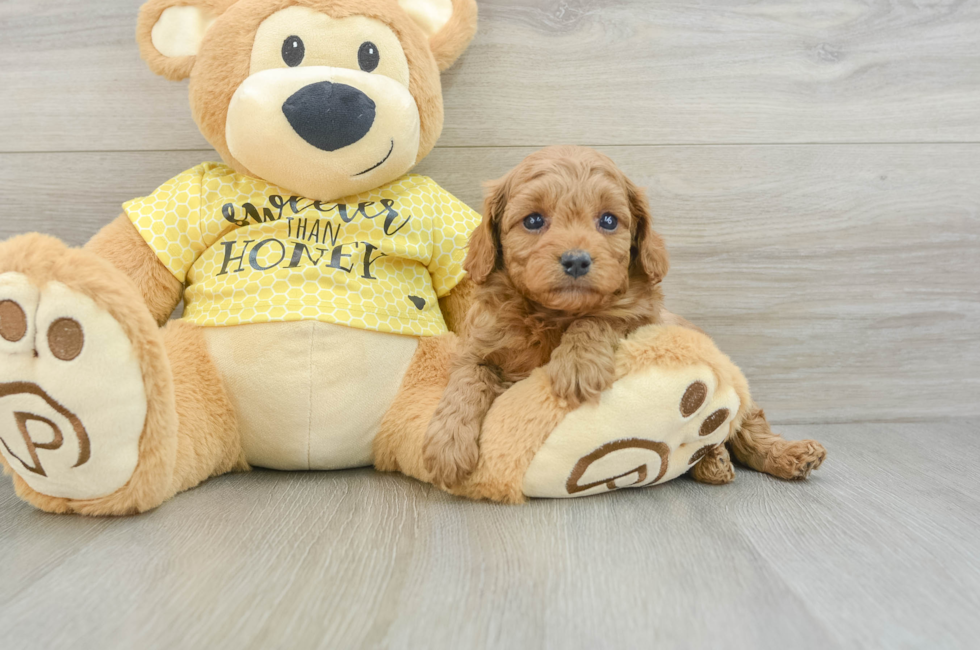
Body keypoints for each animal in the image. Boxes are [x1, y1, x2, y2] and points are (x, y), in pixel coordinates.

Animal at [422, 143, 668, 486]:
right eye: (534, 220)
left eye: (608, 220)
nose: (576, 260)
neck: (553, 314)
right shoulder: (476, 347)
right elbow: (467, 380)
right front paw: (448, 443)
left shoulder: (642, 316)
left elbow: (598, 318)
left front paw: (577, 365)